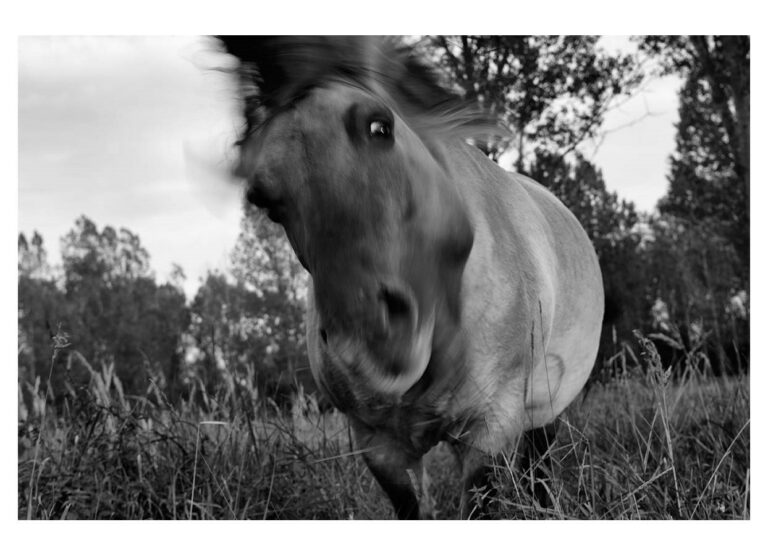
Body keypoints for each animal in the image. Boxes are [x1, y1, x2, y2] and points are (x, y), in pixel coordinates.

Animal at [217, 36, 604, 519]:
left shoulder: (489, 428)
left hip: (548, 407)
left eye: (380, 127)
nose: (370, 342)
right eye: (263, 199)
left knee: (540, 468)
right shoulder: (379, 444)